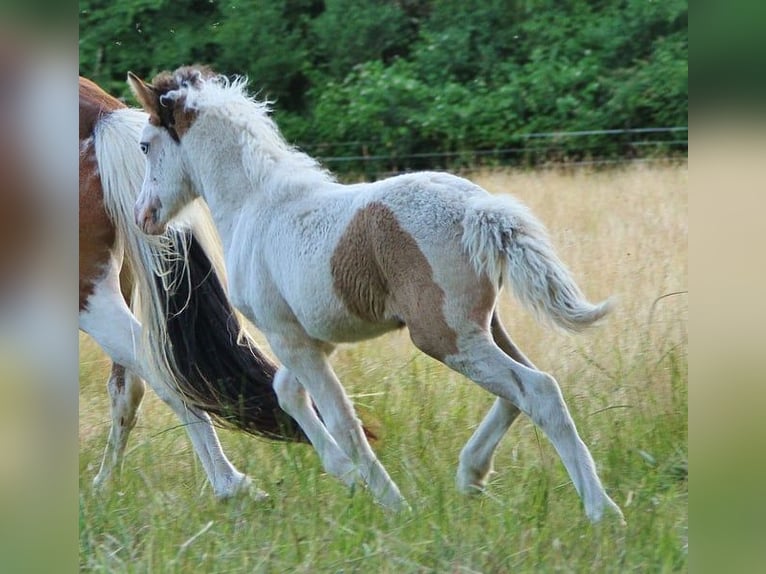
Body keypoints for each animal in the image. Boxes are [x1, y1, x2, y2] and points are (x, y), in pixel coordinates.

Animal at [78, 76, 309, 500]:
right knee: (129, 386)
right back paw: (104, 485)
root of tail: (101, 116)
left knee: (161, 371)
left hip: (86, 295)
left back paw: (231, 486)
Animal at [127, 65, 624, 523]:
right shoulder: (312, 337)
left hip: (443, 336)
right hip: (480, 324)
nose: (143, 216)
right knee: (521, 388)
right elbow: (287, 392)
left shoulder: (289, 337)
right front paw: (347, 476)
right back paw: (472, 474)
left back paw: (602, 510)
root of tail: (480, 209)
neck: (256, 204)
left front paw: (393, 505)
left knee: (538, 391)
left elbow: (343, 420)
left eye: (145, 145)